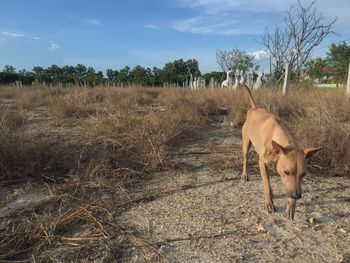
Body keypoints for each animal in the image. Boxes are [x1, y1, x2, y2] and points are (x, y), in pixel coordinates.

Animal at [242, 85, 322, 220]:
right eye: (287, 172)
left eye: (303, 174)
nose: (297, 195)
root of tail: (254, 108)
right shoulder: (262, 163)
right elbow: (267, 185)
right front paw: (269, 203)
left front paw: (291, 207)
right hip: (246, 144)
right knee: (245, 158)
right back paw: (244, 175)